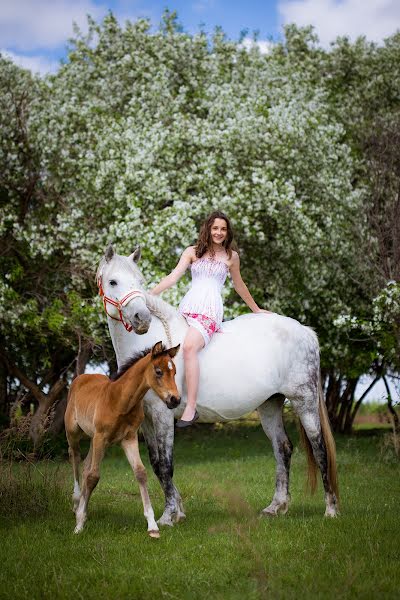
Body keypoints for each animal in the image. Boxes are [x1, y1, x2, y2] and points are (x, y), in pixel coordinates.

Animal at [65, 342, 180, 540]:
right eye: (158, 371)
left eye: (174, 372)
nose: (175, 399)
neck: (119, 401)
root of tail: (82, 376)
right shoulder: (101, 436)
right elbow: (93, 476)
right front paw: (79, 524)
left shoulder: (129, 438)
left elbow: (140, 472)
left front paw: (152, 525)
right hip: (74, 433)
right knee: (75, 458)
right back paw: (76, 502)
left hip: (95, 440)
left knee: (86, 465)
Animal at [96, 244, 338, 524]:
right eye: (113, 281)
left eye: (140, 281)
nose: (141, 318)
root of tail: (305, 331)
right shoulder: (146, 418)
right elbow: (156, 463)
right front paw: (178, 510)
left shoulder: (163, 415)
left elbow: (166, 464)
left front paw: (168, 517)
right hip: (270, 405)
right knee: (283, 448)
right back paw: (276, 506)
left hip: (305, 401)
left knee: (319, 448)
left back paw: (331, 509)